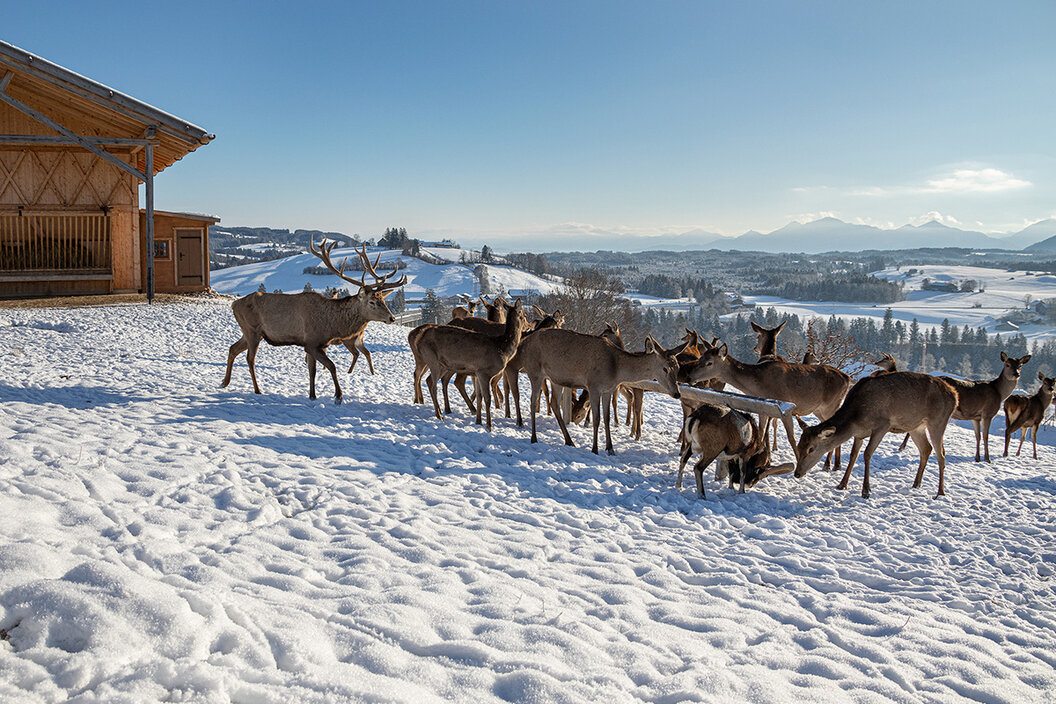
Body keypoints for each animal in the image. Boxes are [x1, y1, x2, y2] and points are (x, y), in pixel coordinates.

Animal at [222, 240, 403, 401]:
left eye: (383, 299)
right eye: (372, 302)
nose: (392, 317)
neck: (331, 324)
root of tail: (234, 304)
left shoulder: (315, 345)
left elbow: (312, 370)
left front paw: (312, 395)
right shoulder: (311, 342)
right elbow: (331, 366)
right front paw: (338, 395)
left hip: (251, 332)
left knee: (233, 348)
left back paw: (225, 382)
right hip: (251, 330)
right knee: (250, 359)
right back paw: (257, 390)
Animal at [413, 299, 525, 430]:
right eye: (523, 316)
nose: (526, 328)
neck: (502, 348)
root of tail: (419, 339)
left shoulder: (477, 373)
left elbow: (479, 396)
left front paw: (478, 421)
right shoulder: (483, 371)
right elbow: (487, 398)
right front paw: (489, 426)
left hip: (443, 364)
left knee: (430, 380)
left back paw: (442, 411)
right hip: (432, 359)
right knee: (432, 383)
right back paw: (439, 415)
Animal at [519, 331, 684, 458]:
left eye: (678, 367)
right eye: (665, 368)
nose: (677, 393)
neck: (616, 370)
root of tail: (523, 343)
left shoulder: (608, 389)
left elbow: (607, 418)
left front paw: (610, 448)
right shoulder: (593, 386)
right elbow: (597, 418)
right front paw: (595, 449)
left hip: (556, 379)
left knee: (554, 403)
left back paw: (569, 441)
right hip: (534, 371)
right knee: (532, 401)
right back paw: (534, 438)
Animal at [680, 344, 853, 464]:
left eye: (709, 362)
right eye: (700, 358)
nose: (689, 377)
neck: (758, 386)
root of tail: (848, 378)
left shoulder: (785, 407)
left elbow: (791, 437)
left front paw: (798, 462)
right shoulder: (764, 410)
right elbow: (762, 431)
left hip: (831, 405)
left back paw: (830, 463)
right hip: (820, 410)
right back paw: (833, 464)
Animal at [794, 373, 963, 500]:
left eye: (811, 449)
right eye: (798, 446)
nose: (797, 473)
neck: (856, 418)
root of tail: (955, 396)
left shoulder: (882, 425)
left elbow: (867, 454)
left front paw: (866, 491)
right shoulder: (859, 434)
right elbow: (853, 455)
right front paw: (842, 484)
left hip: (938, 420)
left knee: (941, 454)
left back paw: (940, 492)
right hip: (916, 426)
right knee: (926, 449)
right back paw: (916, 484)